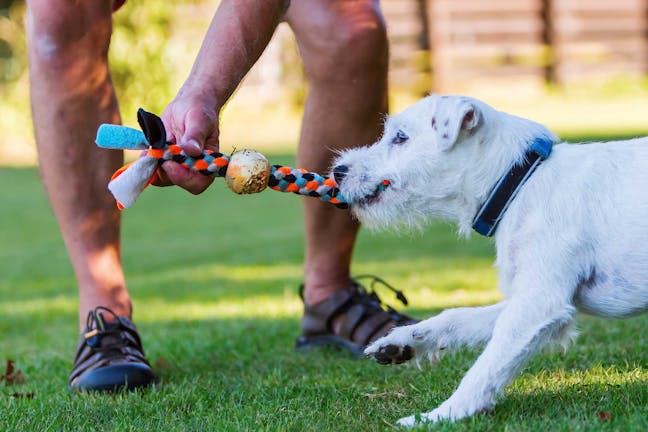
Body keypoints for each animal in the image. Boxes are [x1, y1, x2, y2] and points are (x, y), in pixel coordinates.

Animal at [332, 95, 644, 426]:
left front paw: (440, 415)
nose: (337, 171)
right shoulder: (526, 299)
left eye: (400, 137)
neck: (520, 182)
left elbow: (486, 367)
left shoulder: (539, 302)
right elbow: (456, 318)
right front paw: (401, 341)